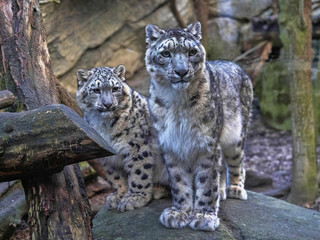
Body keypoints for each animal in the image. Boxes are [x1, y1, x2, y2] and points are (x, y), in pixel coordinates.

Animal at [76, 64, 169, 212]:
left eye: (115, 89)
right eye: (96, 90)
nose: (107, 104)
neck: (104, 125)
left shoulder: (136, 147)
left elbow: (138, 172)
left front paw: (134, 198)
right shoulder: (107, 155)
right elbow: (115, 176)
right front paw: (118, 195)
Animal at [145, 22, 252, 231]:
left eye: (192, 51)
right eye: (166, 53)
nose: (181, 71)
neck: (176, 101)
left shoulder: (207, 145)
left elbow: (206, 182)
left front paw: (204, 216)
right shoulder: (171, 145)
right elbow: (178, 181)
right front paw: (179, 213)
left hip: (236, 137)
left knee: (237, 162)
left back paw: (235, 189)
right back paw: (222, 191)